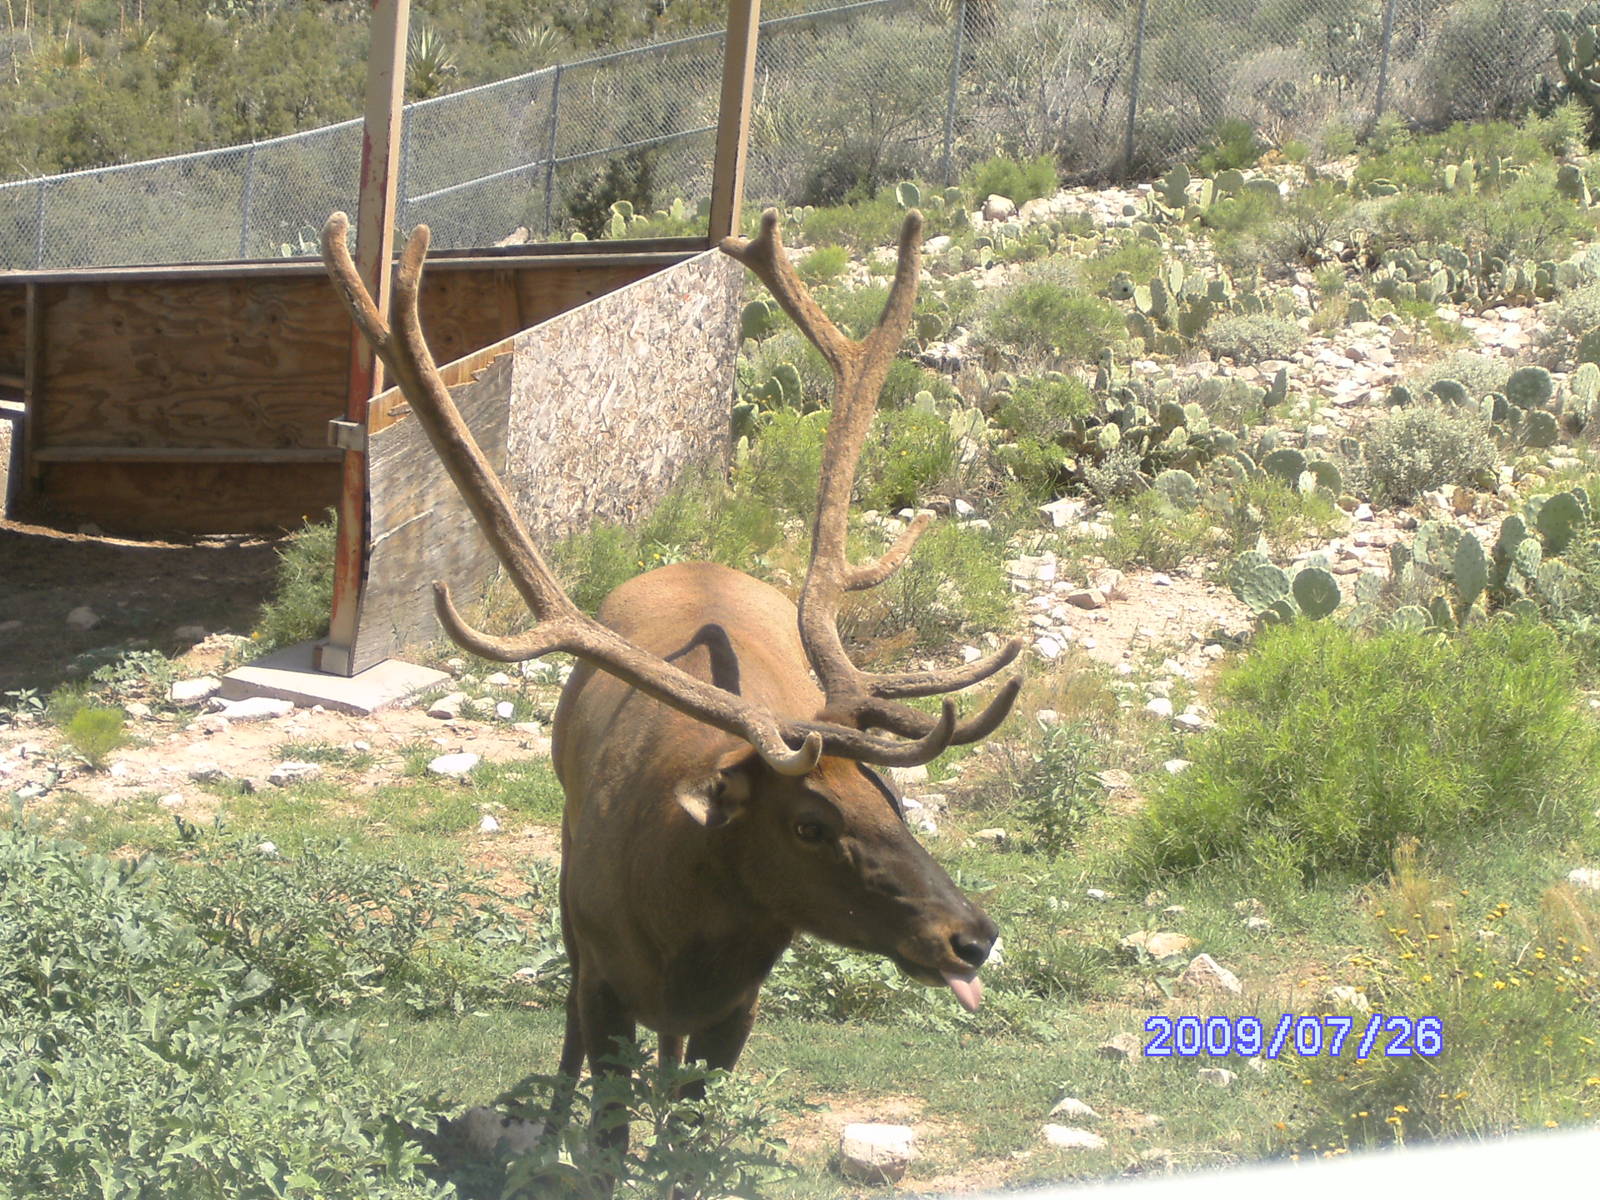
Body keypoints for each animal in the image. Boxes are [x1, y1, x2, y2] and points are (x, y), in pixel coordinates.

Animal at [320, 205, 1022, 1157]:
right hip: (568, 872)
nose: (971, 936)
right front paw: (572, 1144)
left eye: (897, 804)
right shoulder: (604, 975)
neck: (681, 932)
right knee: (572, 1029)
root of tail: (691, 560)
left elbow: (686, 1143)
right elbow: (608, 1135)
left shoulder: (738, 1008)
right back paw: (549, 1125)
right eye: (809, 824)